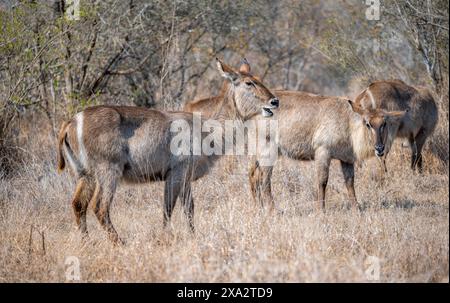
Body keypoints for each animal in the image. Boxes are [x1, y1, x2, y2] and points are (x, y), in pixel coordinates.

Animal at [58, 59, 280, 245]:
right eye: (249, 83)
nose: (274, 101)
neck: (206, 129)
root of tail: (72, 121)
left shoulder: (186, 177)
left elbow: (189, 209)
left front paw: (193, 237)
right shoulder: (176, 172)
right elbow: (168, 208)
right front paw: (165, 237)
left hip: (85, 174)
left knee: (78, 204)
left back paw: (88, 243)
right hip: (108, 171)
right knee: (99, 207)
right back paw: (119, 243)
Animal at [185, 61, 408, 211]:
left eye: (384, 123)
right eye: (368, 123)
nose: (379, 149)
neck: (347, 120)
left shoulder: (346, 159)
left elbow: (350, 183)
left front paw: (357, 208)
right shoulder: (323, 152)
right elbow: (322, 181)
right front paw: (321, 211)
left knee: (252, 175)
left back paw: (259, 208)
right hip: (267, 151)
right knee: (264, 179)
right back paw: (271, 210)